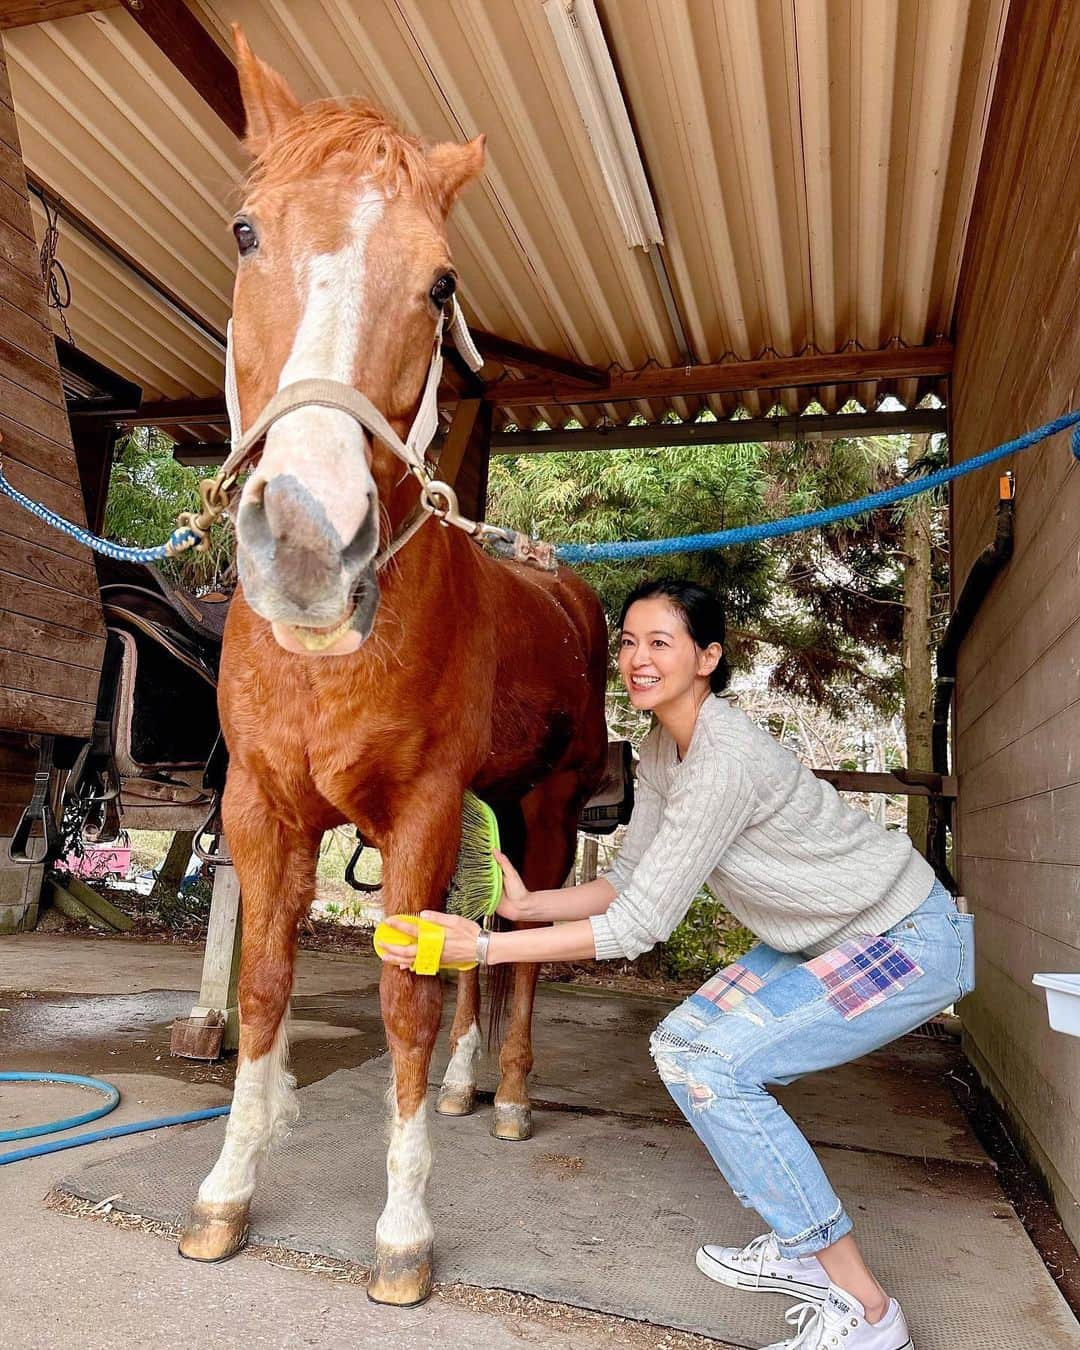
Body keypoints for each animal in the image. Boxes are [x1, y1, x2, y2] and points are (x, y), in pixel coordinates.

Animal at [180, 34, 612, 1306]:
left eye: (440, 284)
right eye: (246, 233)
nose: (308, 540)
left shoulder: (419, 811)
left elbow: (405, 1003)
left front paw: (404, 1232)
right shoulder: (263, 809)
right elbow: (265, 986)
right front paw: (228, 1191)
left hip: (544, 811)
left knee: (519, 951)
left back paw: (506, 1093)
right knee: (489, 936)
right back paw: (472, 1086)